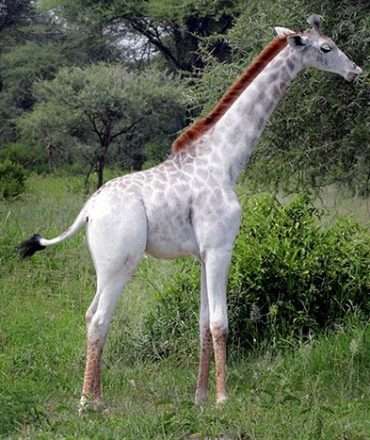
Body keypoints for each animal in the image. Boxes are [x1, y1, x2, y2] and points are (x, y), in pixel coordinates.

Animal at [18, 14, 362, 412]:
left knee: (91, 315)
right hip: (120, 262)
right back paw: (87, 405)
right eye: (326, 47)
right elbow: (220, 322)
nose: (355, 71)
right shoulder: (220, 248)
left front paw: (199, 397)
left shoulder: (201, 254)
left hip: (103, 266)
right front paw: (223, 399)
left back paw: (98, 399)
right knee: (100, 319)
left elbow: (201, 323)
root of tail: (89, 209)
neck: (224, 160)